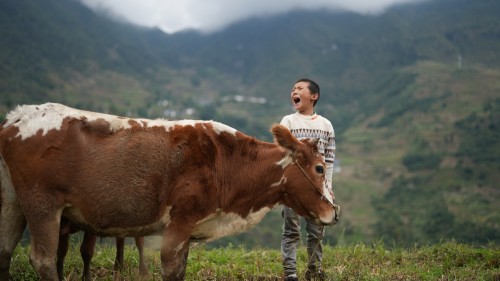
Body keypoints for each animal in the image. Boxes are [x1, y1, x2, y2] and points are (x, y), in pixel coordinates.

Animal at [0, 103, 338, 280]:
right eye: (319, 168)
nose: (333, 212)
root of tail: (18, 116)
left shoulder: (189, 229)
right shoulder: (179, 223)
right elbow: (171, 269)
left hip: (13, 202)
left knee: (5, 250)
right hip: (42, 203)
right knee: (42, 259)